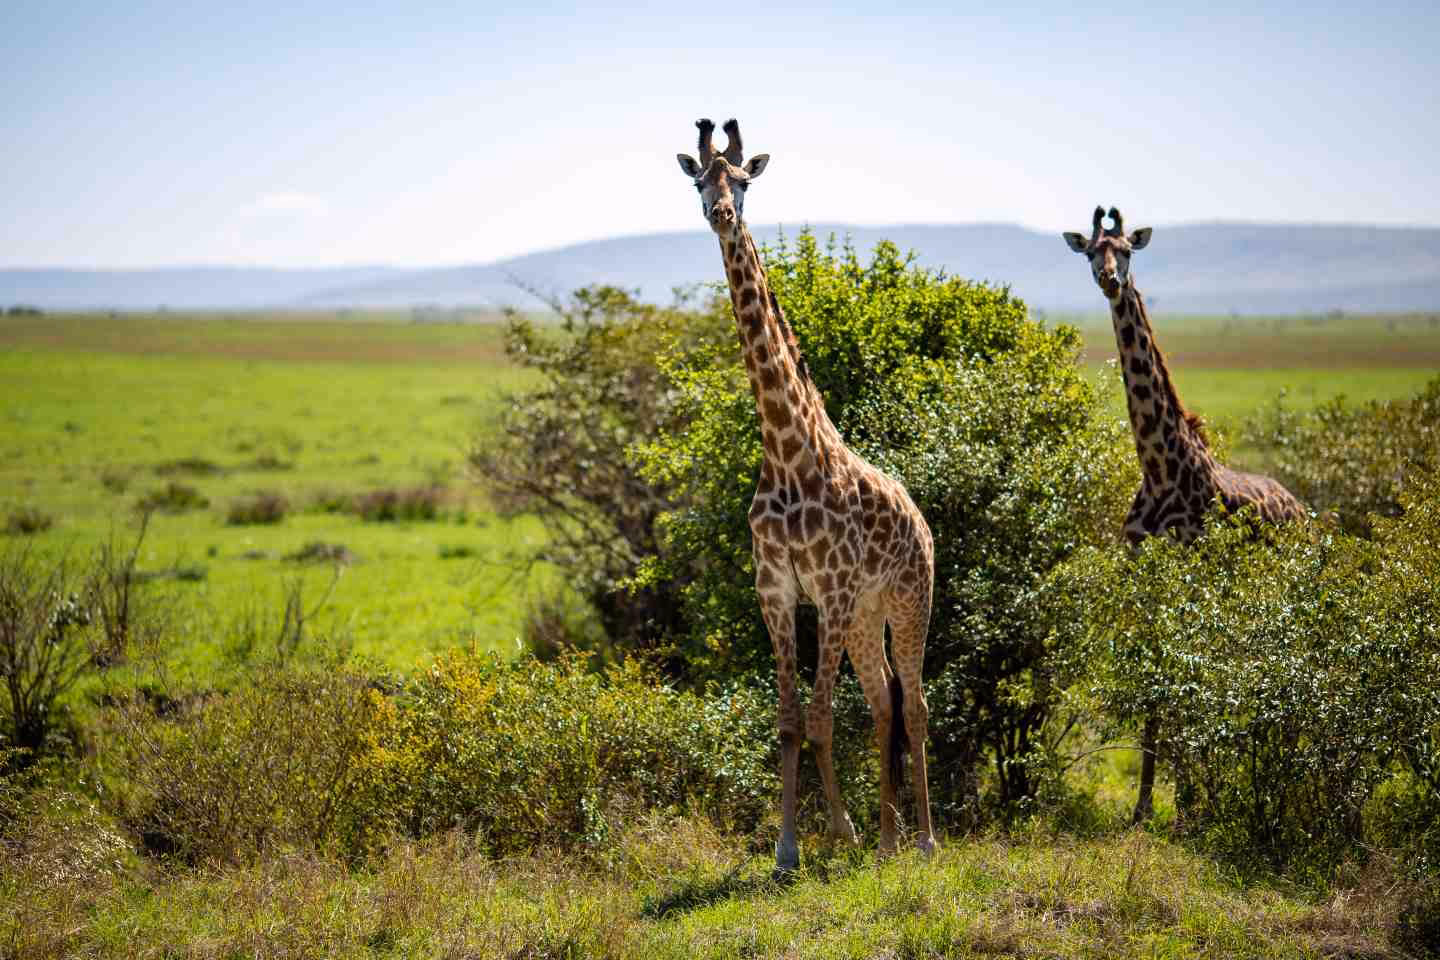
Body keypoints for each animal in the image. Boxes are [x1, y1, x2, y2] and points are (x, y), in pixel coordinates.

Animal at [676, 118, 939, 870]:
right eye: (700, 182)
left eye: (743, 181)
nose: (721, 214)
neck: (787, 455)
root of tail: (922, 521)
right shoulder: (777, 590)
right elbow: (791, 721)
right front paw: (793, 846)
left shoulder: (830, 590)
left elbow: (821, 719)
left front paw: (833, 834)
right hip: (866, 617)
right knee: (885, 704)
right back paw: (888, 839)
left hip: (907, 601)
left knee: (916, 705)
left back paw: (924, 839)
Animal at [1064, 205, 1307, 821]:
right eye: (1090, 251)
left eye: (1127, 250)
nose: (1110, 280)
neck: (1157, 466)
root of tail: (1303, 512)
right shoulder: (1143, 578)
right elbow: (1157, 681)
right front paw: (1148, 804)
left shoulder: (1191, 574)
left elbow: (1183, 675)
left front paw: (1190, 804)